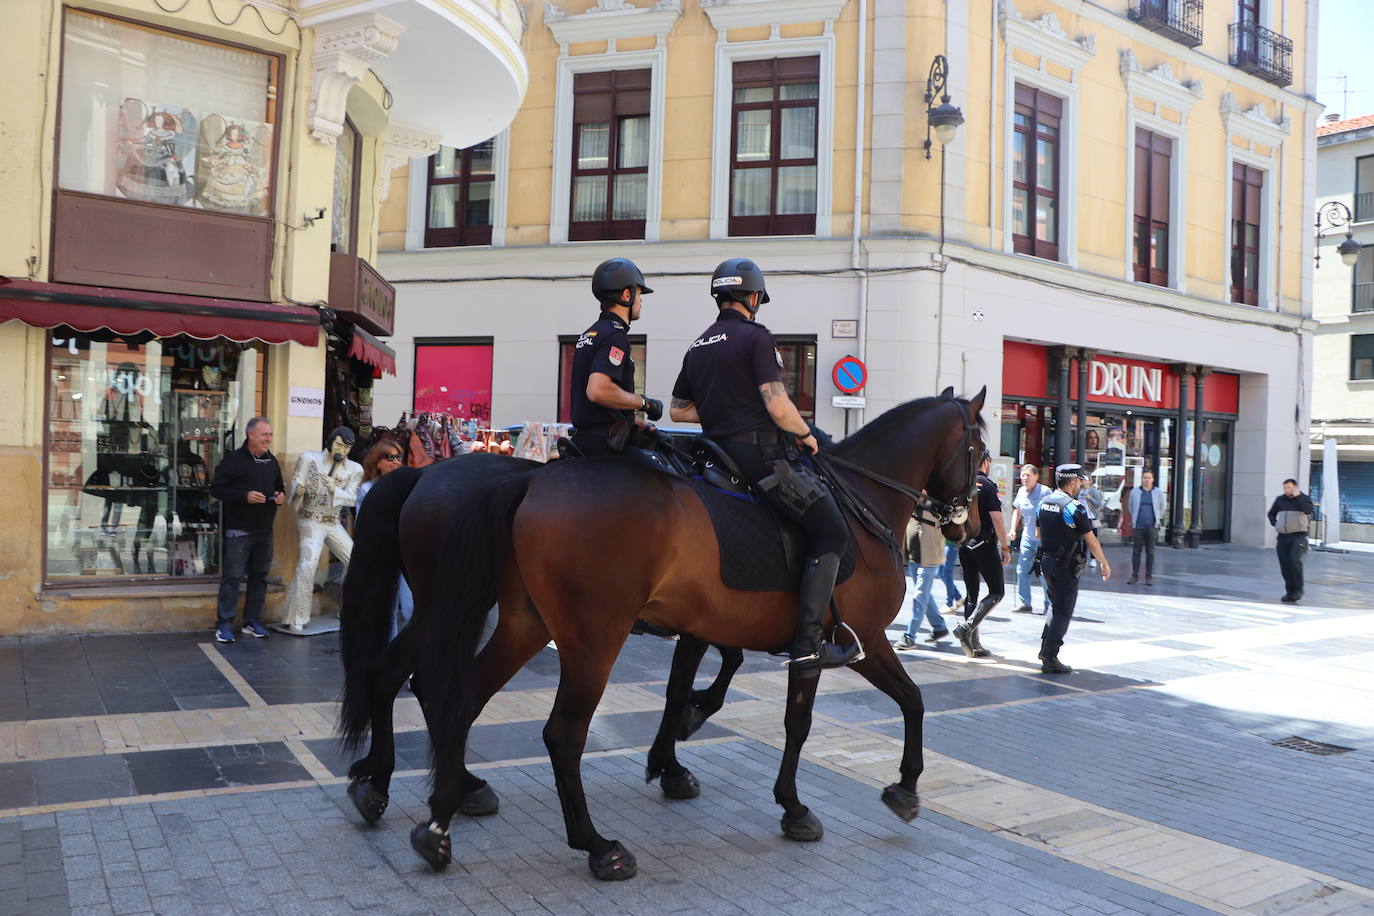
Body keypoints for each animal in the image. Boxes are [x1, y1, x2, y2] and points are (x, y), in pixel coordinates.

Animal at [342, 384, 989, 878]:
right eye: (981, 451)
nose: (972, 528)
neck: (861, 501)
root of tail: (526, 484)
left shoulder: (711, 625)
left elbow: (699, 686)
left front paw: (678, 752)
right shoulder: (858, 642)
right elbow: (882, 707)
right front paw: (878, 791)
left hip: (515, 622)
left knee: (449, 694)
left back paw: (435, 816)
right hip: (581, 637)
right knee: (555, 732)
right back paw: (594, 845)